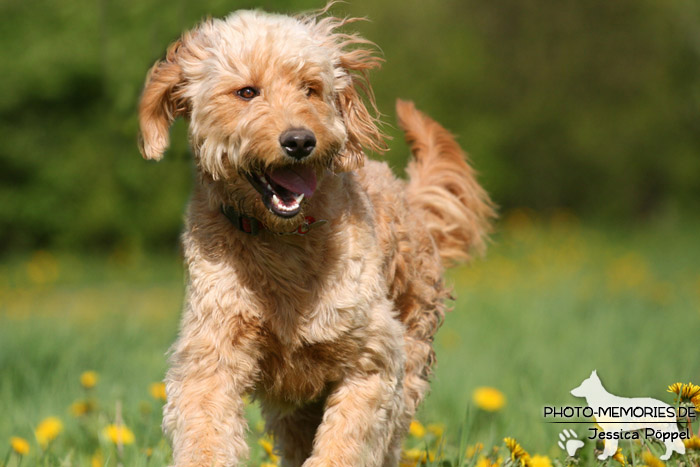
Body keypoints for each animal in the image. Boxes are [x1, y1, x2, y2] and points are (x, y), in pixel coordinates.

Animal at [138, 4, 492, 467]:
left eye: (311, 89)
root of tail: (405, 192)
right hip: (294, 409)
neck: (283, 240)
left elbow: (345, 441)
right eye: (247, 92)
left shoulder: (373, 361)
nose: (300, 141)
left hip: (409, 355)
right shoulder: (212, 355)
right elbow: (206, 434)